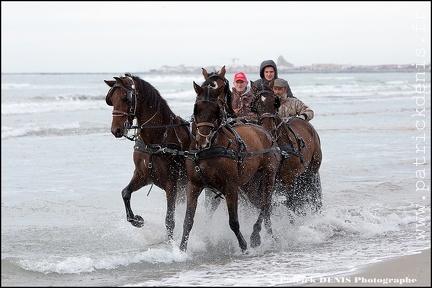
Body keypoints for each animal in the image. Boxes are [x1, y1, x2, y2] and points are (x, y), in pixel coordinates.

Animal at [104, 73, 192, 240]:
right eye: (110, 100)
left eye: (125, 98)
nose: (115, 130)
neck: (157, 139)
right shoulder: (143, 175)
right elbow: (125, 193)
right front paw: (136, 220)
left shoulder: (172, 183)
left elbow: (169, 220)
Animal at [178, 80, 282, 252]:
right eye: (196, 108)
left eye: (216, 110)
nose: (202, 141)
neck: (208, 150)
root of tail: (266, 132)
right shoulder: (193, 186)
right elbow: (188, 221)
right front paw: (181, 249)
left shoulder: (230, 186)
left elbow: (233, 221)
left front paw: (244, 246)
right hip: (250, 184)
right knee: (262, 205)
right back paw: (270, 233)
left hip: (268, 175)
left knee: (265, 204)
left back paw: (256, 235)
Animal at [250, 80, 320, 215]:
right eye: (256, 105)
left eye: (274, 102)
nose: (269, 128)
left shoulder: (290, 180)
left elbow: (291, 205)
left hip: (312, 170)